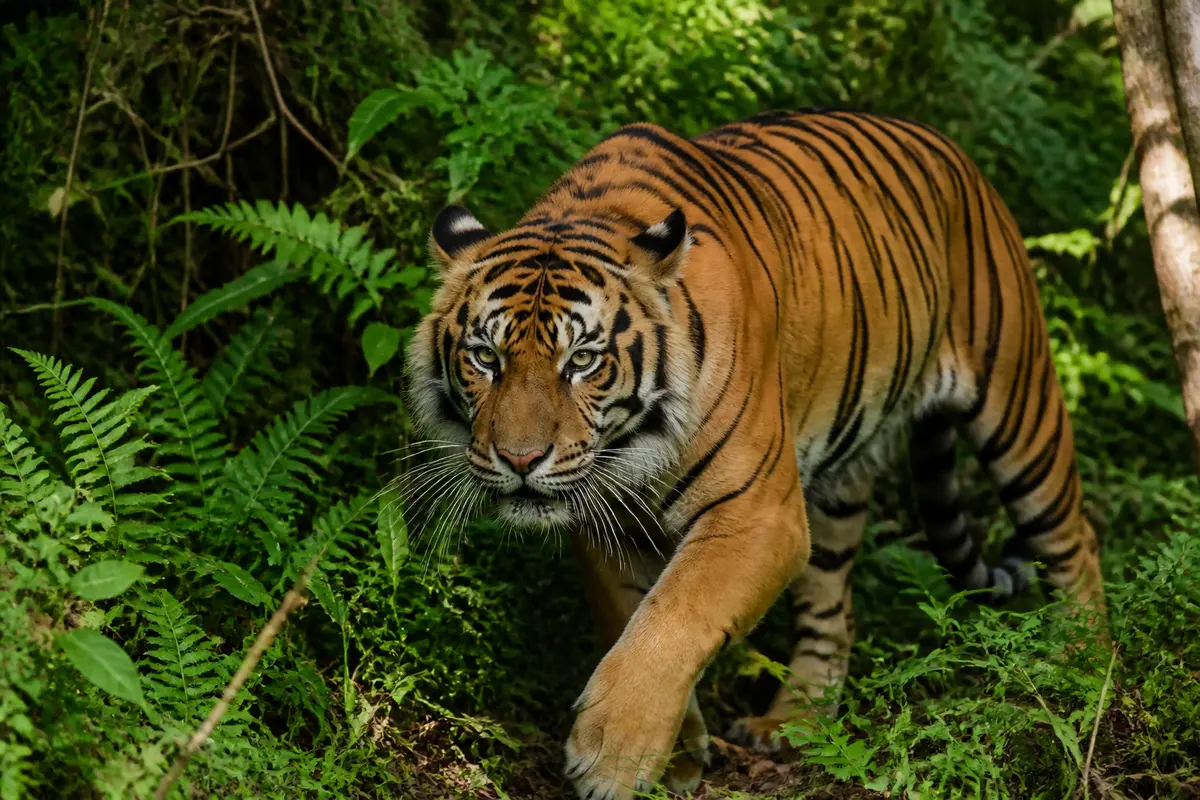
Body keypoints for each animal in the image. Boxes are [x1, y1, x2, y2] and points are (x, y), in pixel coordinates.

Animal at [404, 108, 1106, 800]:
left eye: (581, 361)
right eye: (485, 357)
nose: (520, 459)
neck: (634, 445)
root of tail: (950, 148)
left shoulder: (758, 515)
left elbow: (673, 616)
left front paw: (610, 759)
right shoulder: (608, 528)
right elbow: (630, 619)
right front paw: (674, 760)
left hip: (1021, 406)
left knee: (1076, 542)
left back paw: (1082, 669)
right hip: (836, 487)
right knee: (833, 610)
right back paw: (794, 722)